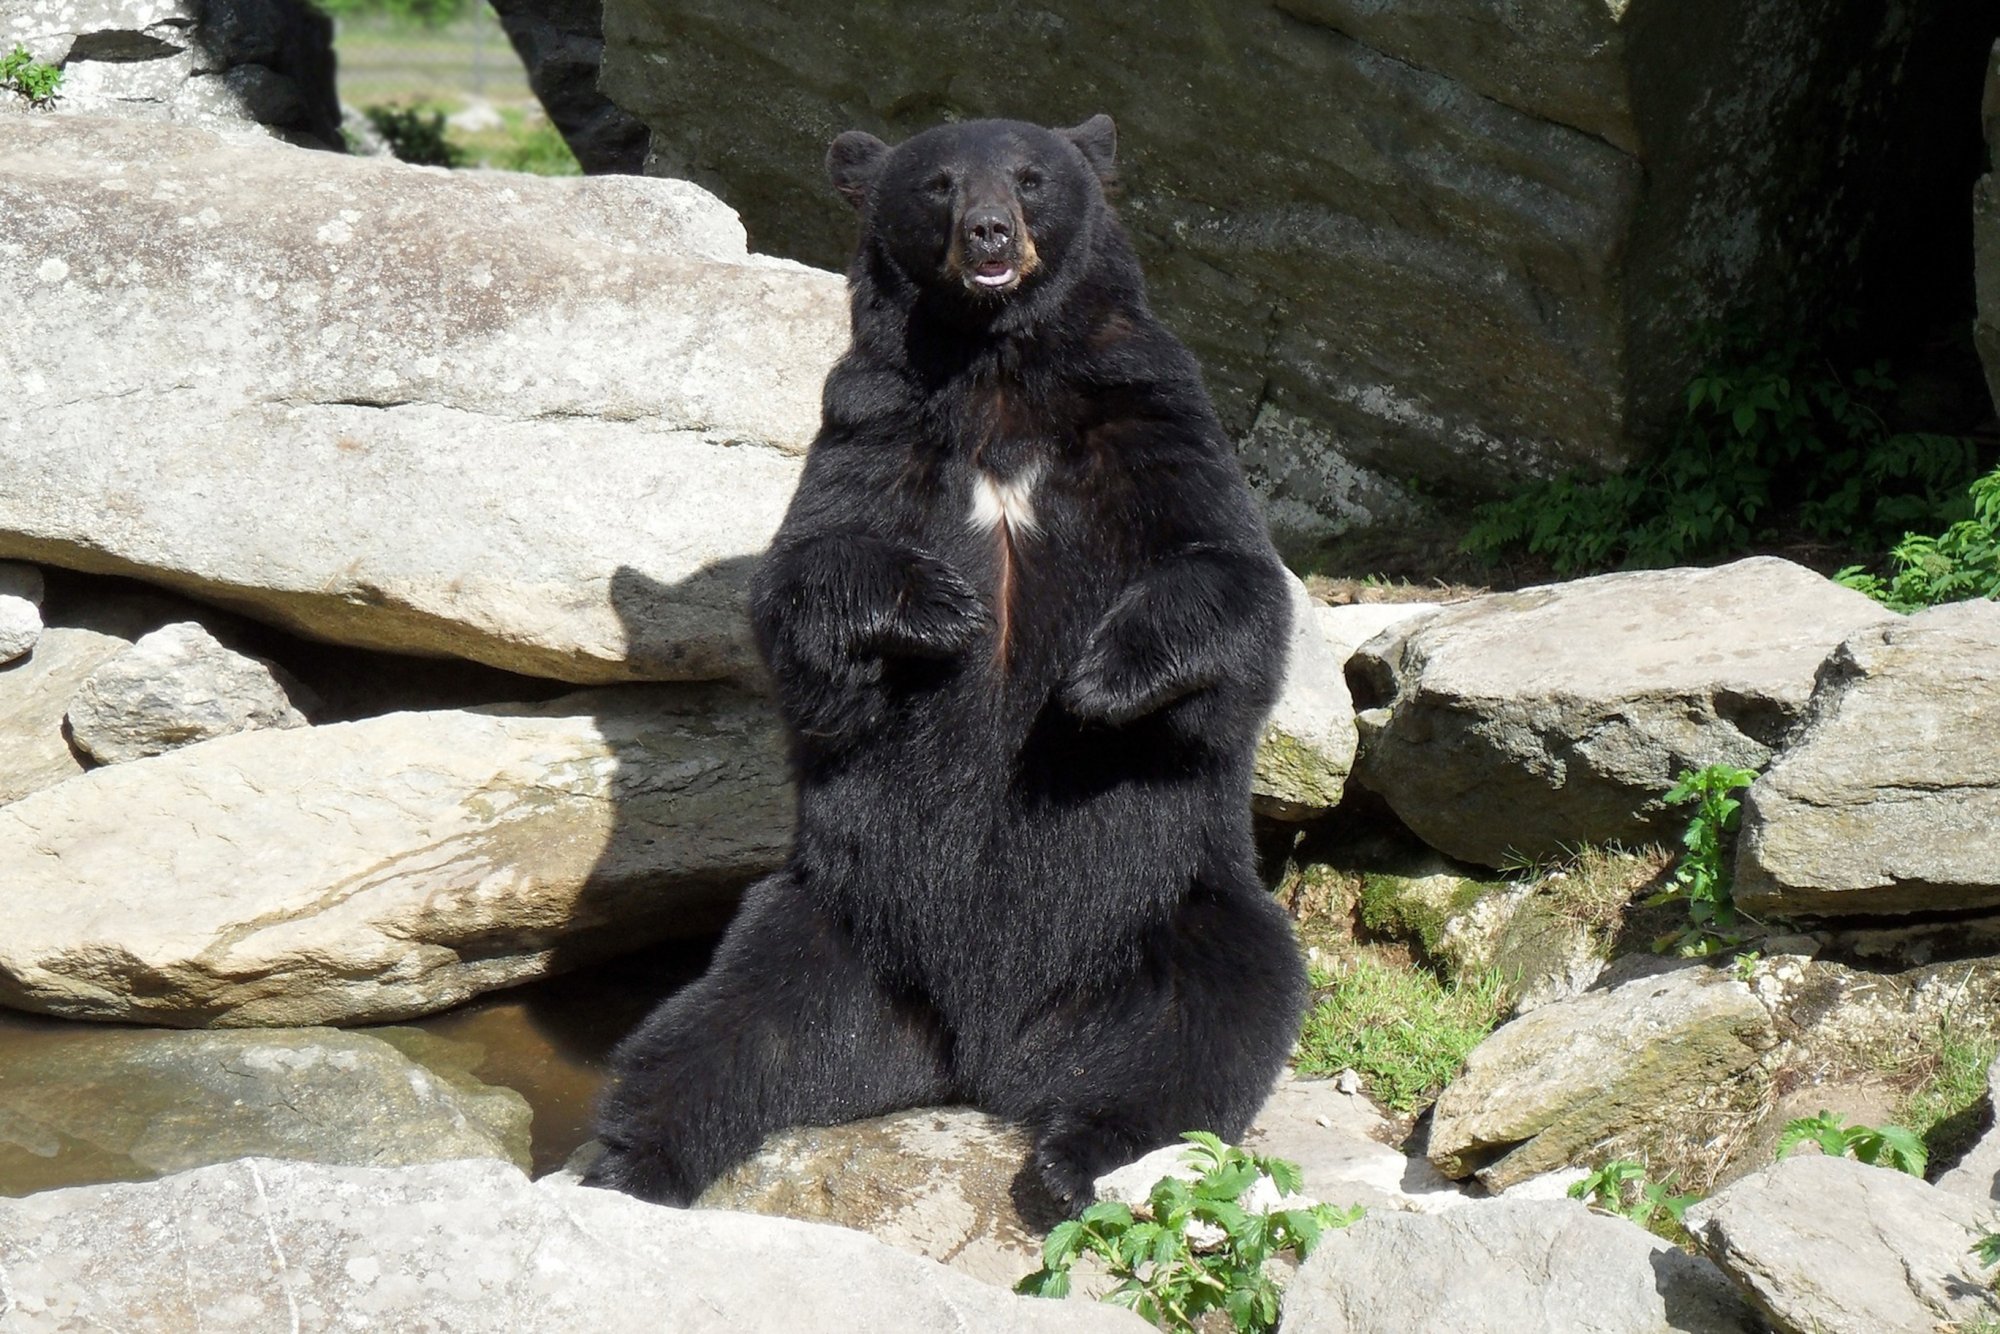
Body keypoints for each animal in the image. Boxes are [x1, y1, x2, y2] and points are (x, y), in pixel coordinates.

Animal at [584, 114, 1307, 1214]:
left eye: (1031, 176)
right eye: (937, 184)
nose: (988, 234)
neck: (997, 370)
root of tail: (980, 1057)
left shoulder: (1150, 414)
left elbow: (1232, 582)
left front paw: (1098, 679)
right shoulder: (875, 425)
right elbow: (803, 585)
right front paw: (942, 608)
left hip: (1171, 908)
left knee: (1210, 1025)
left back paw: (1076, 1158)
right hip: (832, 923)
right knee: (723, 1029)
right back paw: (628, 1159)